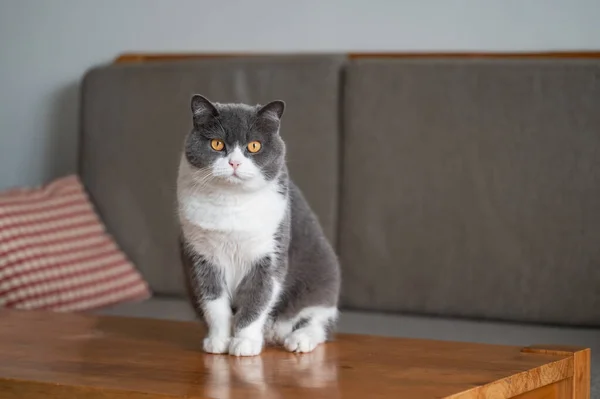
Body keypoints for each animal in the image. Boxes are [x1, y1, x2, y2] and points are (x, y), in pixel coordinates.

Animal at [176, 95, 340, 358]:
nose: (234, 162)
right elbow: (214, 303)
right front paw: (219, 340)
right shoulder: (202, 257)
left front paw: (244, 342)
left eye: (253, 146)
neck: (230, 201)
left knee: (318, 322)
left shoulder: (268, 255)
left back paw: (298, 339)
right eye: (216, 144)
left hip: (322, 277)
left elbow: (257, 299)